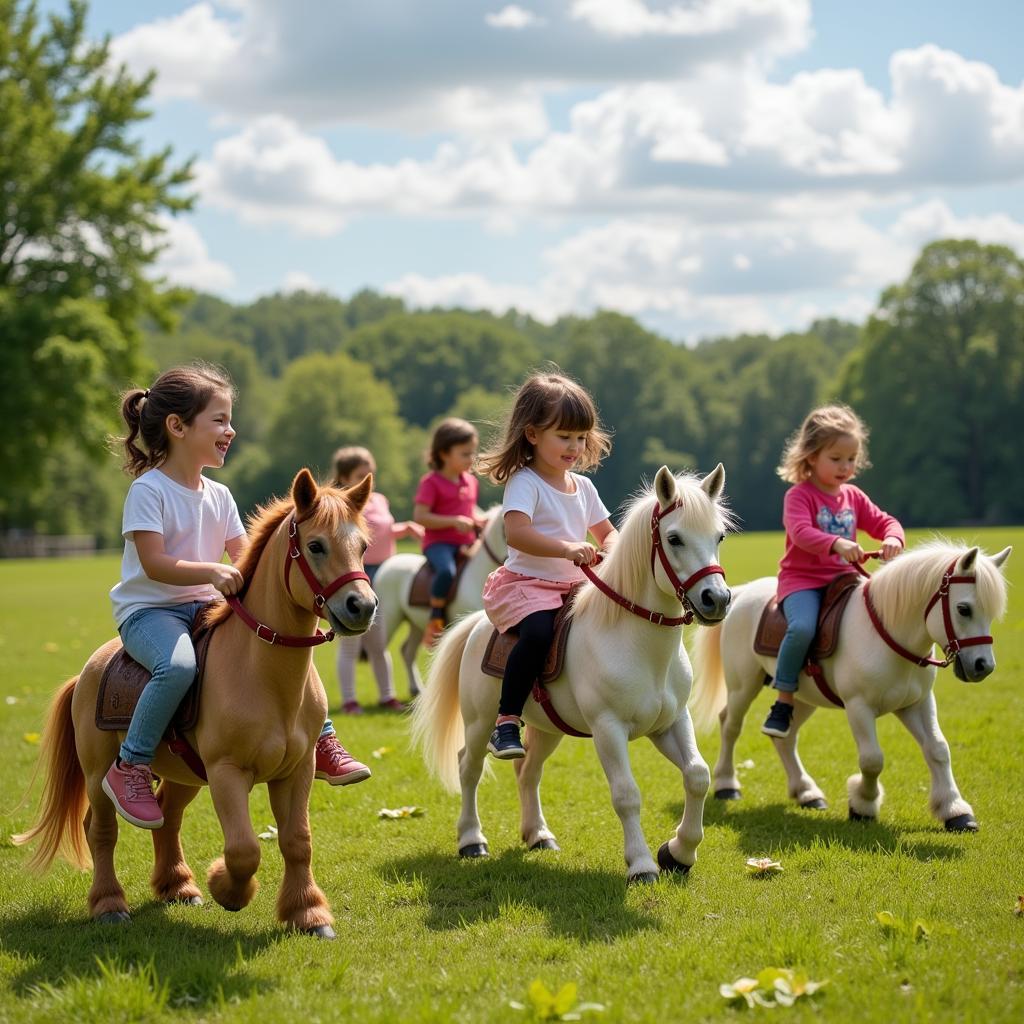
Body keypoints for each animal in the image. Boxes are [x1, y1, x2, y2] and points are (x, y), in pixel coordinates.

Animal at [14, 468, 376, 937]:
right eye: (315, 545)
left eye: (363, 546)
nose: (362, 606)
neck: (262, 675)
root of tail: (87, 672)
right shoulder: (226, 772)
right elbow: (243, 848)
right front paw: (227, 888)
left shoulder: (297, 771)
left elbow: (298, 841)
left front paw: (308, 914)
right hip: (98, 774)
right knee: (101, 830)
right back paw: (110, 903)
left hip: (183, 773)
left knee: (167, 816)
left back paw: (178, 886)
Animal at [372, 503, 507, 696]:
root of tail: (388, 564)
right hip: (389, 619)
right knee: (379, 651)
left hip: (415, 624)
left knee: (407, 651)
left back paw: (416, 689)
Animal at [411, 468, 733, 884]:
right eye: (674, 538)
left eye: (719, 536)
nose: (718, 600)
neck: (637, 643)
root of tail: (477, 624)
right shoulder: (608, 729)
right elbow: (626, 794)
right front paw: (642, 864)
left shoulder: (671, 723)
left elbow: (698, 775)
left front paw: (678, 853)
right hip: (480, 721)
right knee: (469, 768)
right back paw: (471, 840)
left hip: (548, 729)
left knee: (528, 771)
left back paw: (538, 835)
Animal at [692, 540, 1011, 827]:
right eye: (963, 608)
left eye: (991, 612)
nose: (983, 666)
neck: (888, 634)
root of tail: (743, 592)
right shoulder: (859, 706)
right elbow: (872, 759)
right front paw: (863, 804)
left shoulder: (917, 703)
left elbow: (938, 749)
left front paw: (955, 809)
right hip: (742, 686)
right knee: (730, 725)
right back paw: (727, 785)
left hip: (803, 696)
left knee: (785, 737)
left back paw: (806, 792)